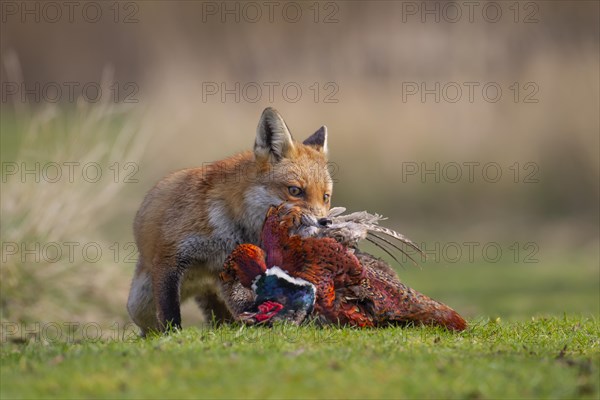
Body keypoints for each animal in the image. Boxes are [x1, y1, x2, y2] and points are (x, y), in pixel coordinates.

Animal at [127, 107, 332, 334]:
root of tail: (199, 283)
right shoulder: (170, 257)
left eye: (325, 196)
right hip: (140, 304)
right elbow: (169, 312)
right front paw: (173, 335)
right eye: (295, 191)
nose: (325, 222)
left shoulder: (234, 266)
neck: (232, 224)